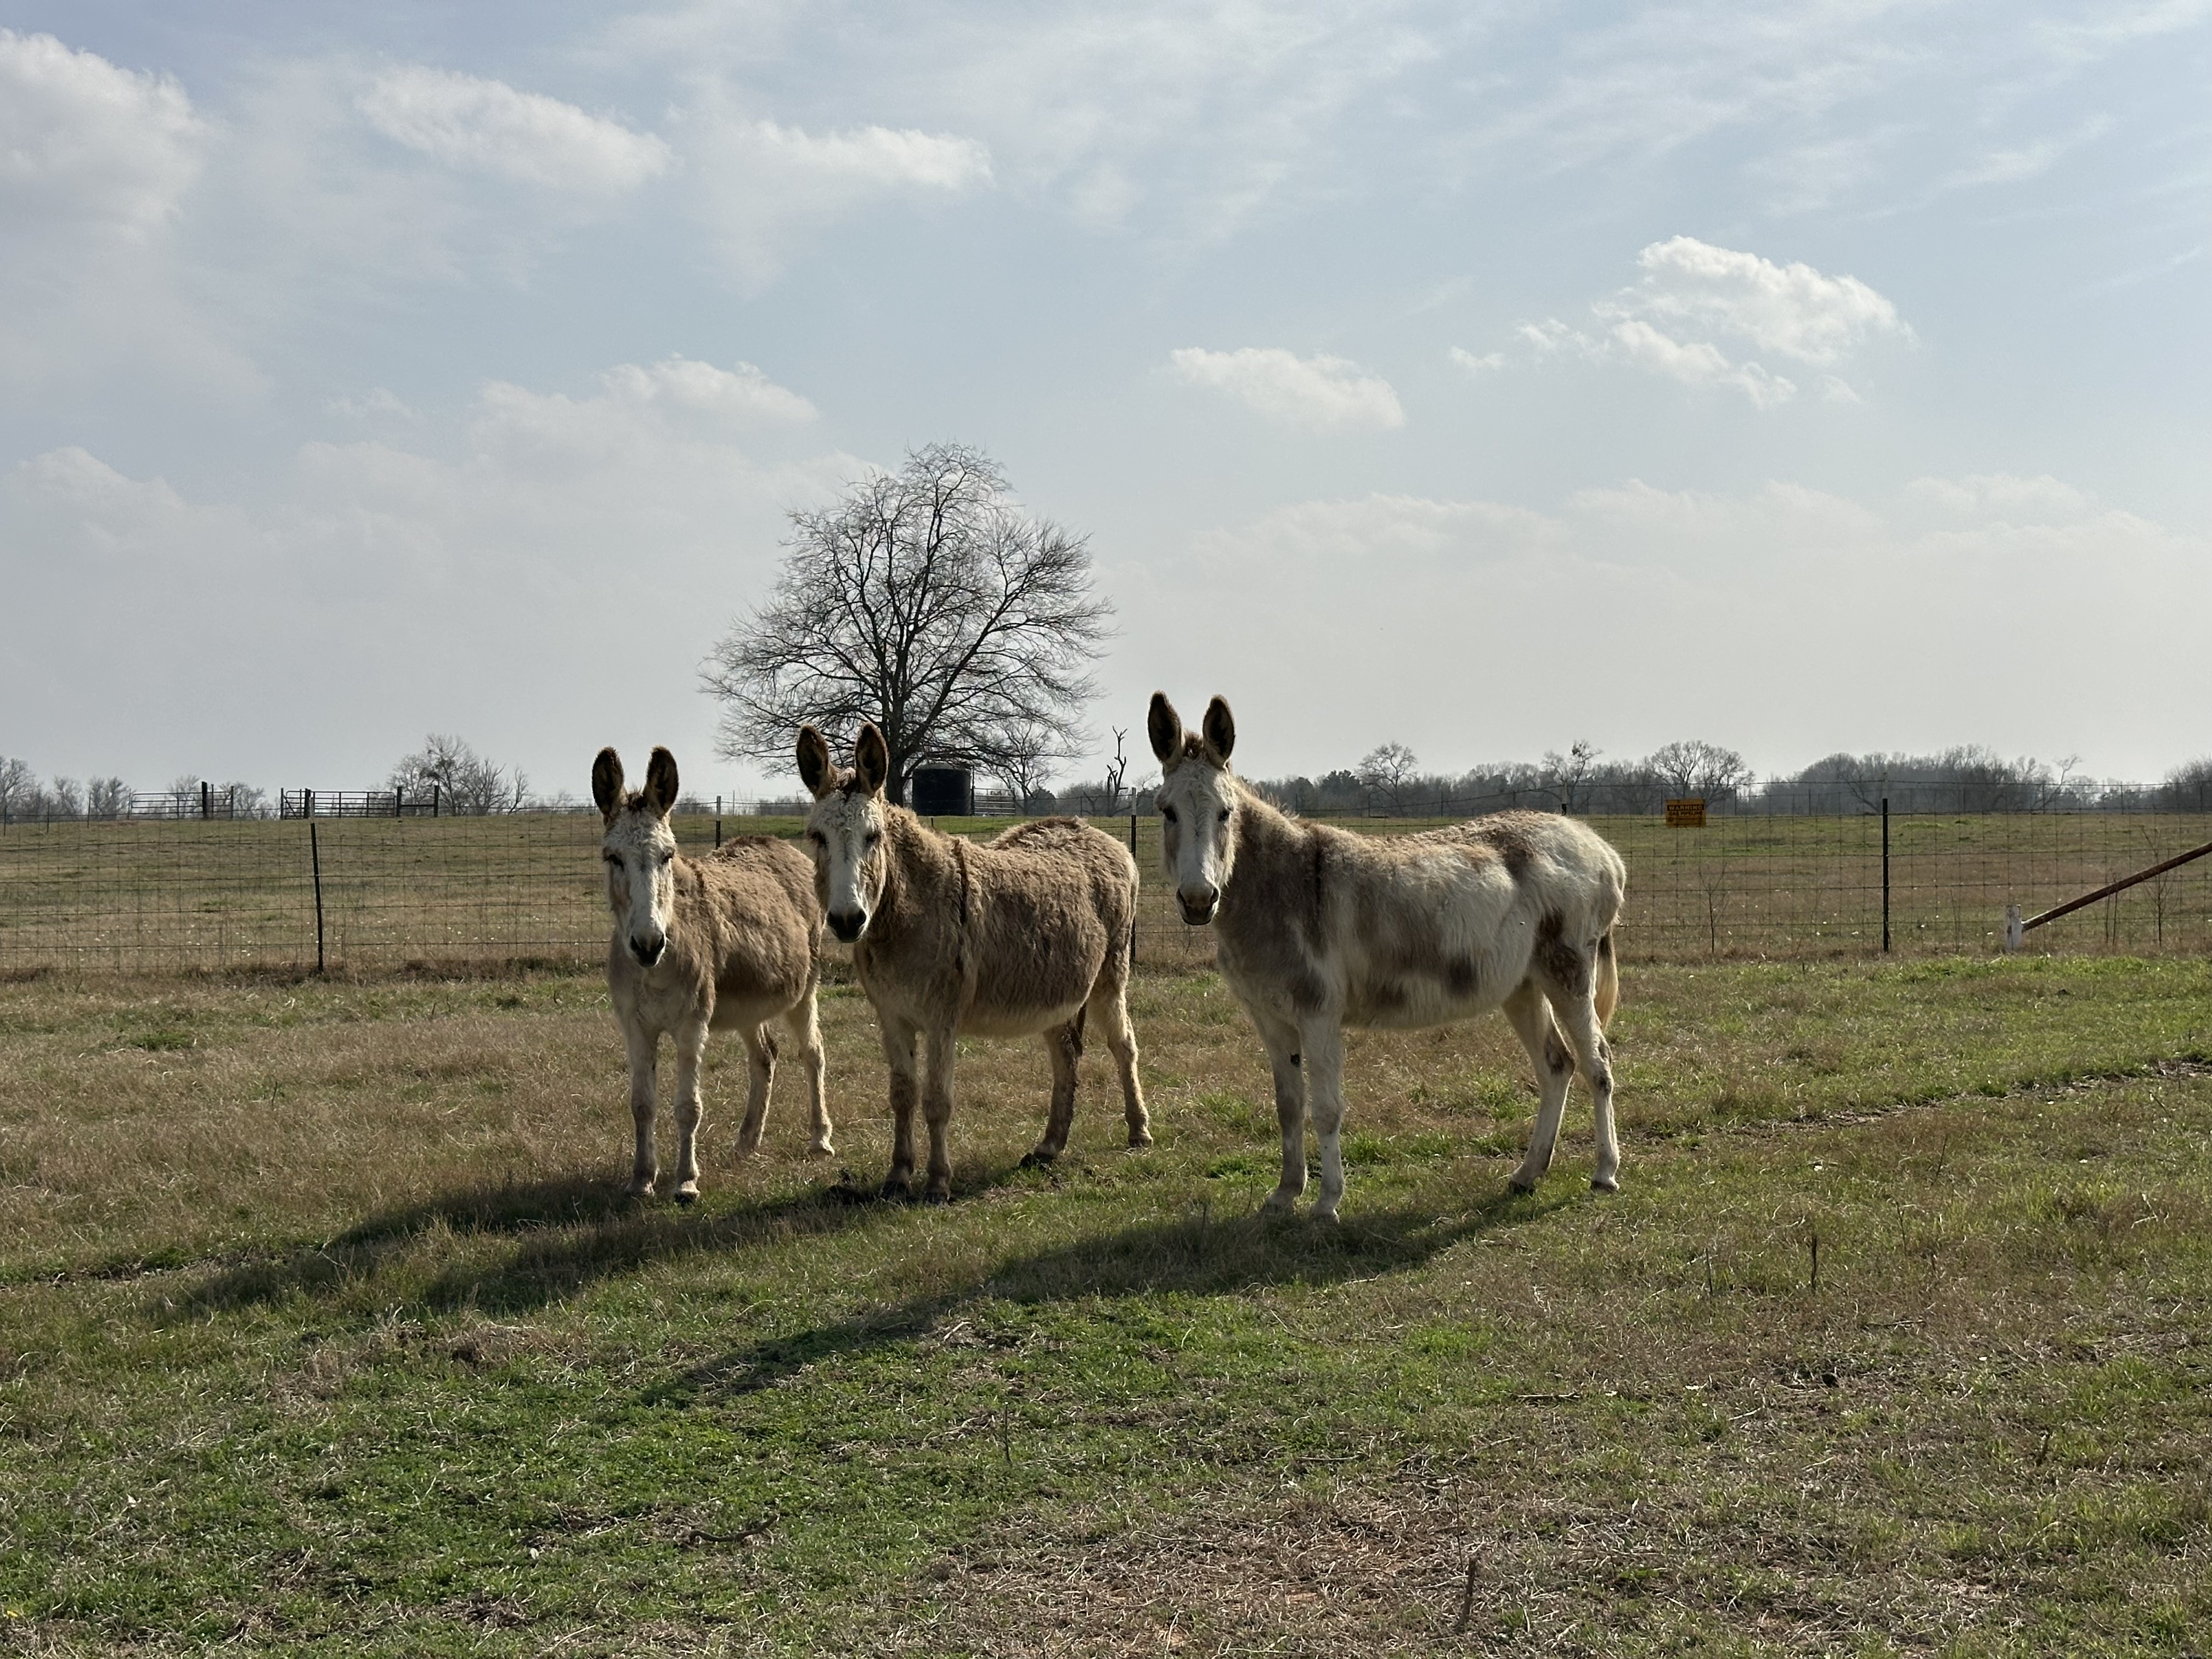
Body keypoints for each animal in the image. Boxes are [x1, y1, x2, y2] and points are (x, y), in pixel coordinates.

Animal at [594, 745, 831, 1200]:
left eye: (667, 856)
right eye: (613, 858)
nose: (648, 944)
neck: (654, 971)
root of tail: (780, 845)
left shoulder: (692, 1023)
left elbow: (688, 1107)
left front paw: (686, 1182)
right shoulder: (635, 1026)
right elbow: (641, 1105)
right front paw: (641, 1179)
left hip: (804, 989)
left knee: (812, 1053)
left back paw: (820, 1140)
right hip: (750, 1004)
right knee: (765, 1057)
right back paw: (746, 1144)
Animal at [797, 723, 1148, 1201]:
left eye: (873, 837)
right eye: (817, 837)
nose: (848, 920)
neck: (908, 911)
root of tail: (1092, 832)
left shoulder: (942, 1017)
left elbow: (937, 1100)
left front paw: (937, 1183)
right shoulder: (891, 1015)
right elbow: (902, 1095)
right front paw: (898, 1176)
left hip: (1109, 979)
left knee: (1124, 1046)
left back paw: (1139, 1131)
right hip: (1059, 990)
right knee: (1066, 1056)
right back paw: (1049, 1146)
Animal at [1147, 693, 1626, 1220]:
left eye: (1225, 813)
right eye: (1167, 812)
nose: (1198, 901)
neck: (1277, 888)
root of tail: (1595, 843)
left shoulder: (1319, 1014)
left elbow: (1327, 1108)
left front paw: (1327, 1203)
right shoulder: (1270, 1019)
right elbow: (1288, 1107)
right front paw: (1285, 1193)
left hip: (1569, 974)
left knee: (1599, 1065)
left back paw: (1605, 1172)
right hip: (1521, 985)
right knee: (1556, 1065)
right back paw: (1528, 1173)